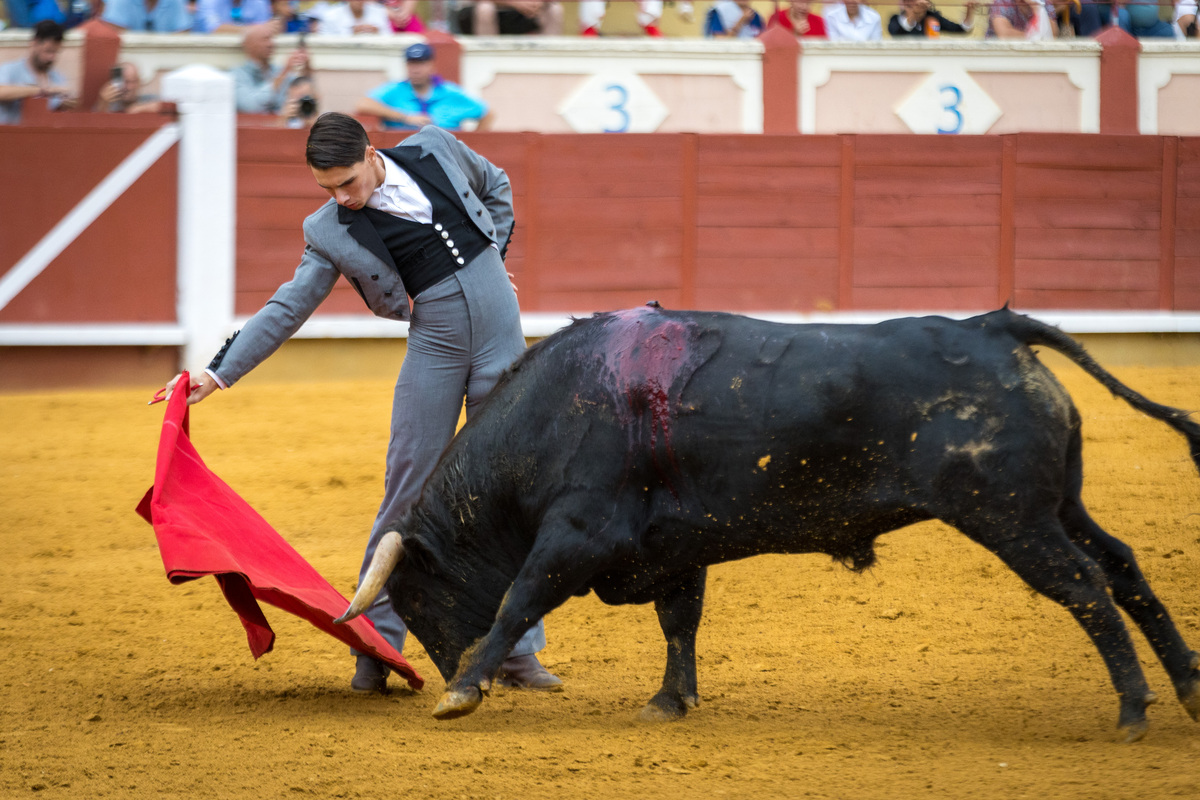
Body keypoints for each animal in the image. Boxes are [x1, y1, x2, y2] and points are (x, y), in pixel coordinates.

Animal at [338, 303, 1200, 743]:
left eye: (414, 598)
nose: (440, 671)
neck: (551, 412)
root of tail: (994, 328)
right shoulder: (674, 549)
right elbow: (680, 622)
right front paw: (670, 701)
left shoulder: (576, 537)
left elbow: (519, 599)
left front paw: (464, 693)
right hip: (1059, 504)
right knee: (1122, 566)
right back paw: (1187, 688)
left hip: (1009, 516)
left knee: (1084, 586)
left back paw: (1133, 710)